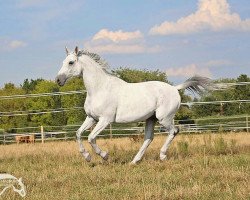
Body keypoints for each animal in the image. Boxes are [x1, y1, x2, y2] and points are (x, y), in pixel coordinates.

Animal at [56, 46, 215, 164]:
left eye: (71, 62)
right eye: (63, 62)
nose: (58, 80)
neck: (99, 88)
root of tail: (175, 88)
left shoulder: (105, 120)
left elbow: (91, 138)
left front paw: (105, 155)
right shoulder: (91, 118)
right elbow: (78, 134)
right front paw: (87, 157)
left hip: (164, 118)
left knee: (173, 131)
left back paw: (162, 156)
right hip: (151, 119)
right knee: (149, 138)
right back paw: (135, 161)